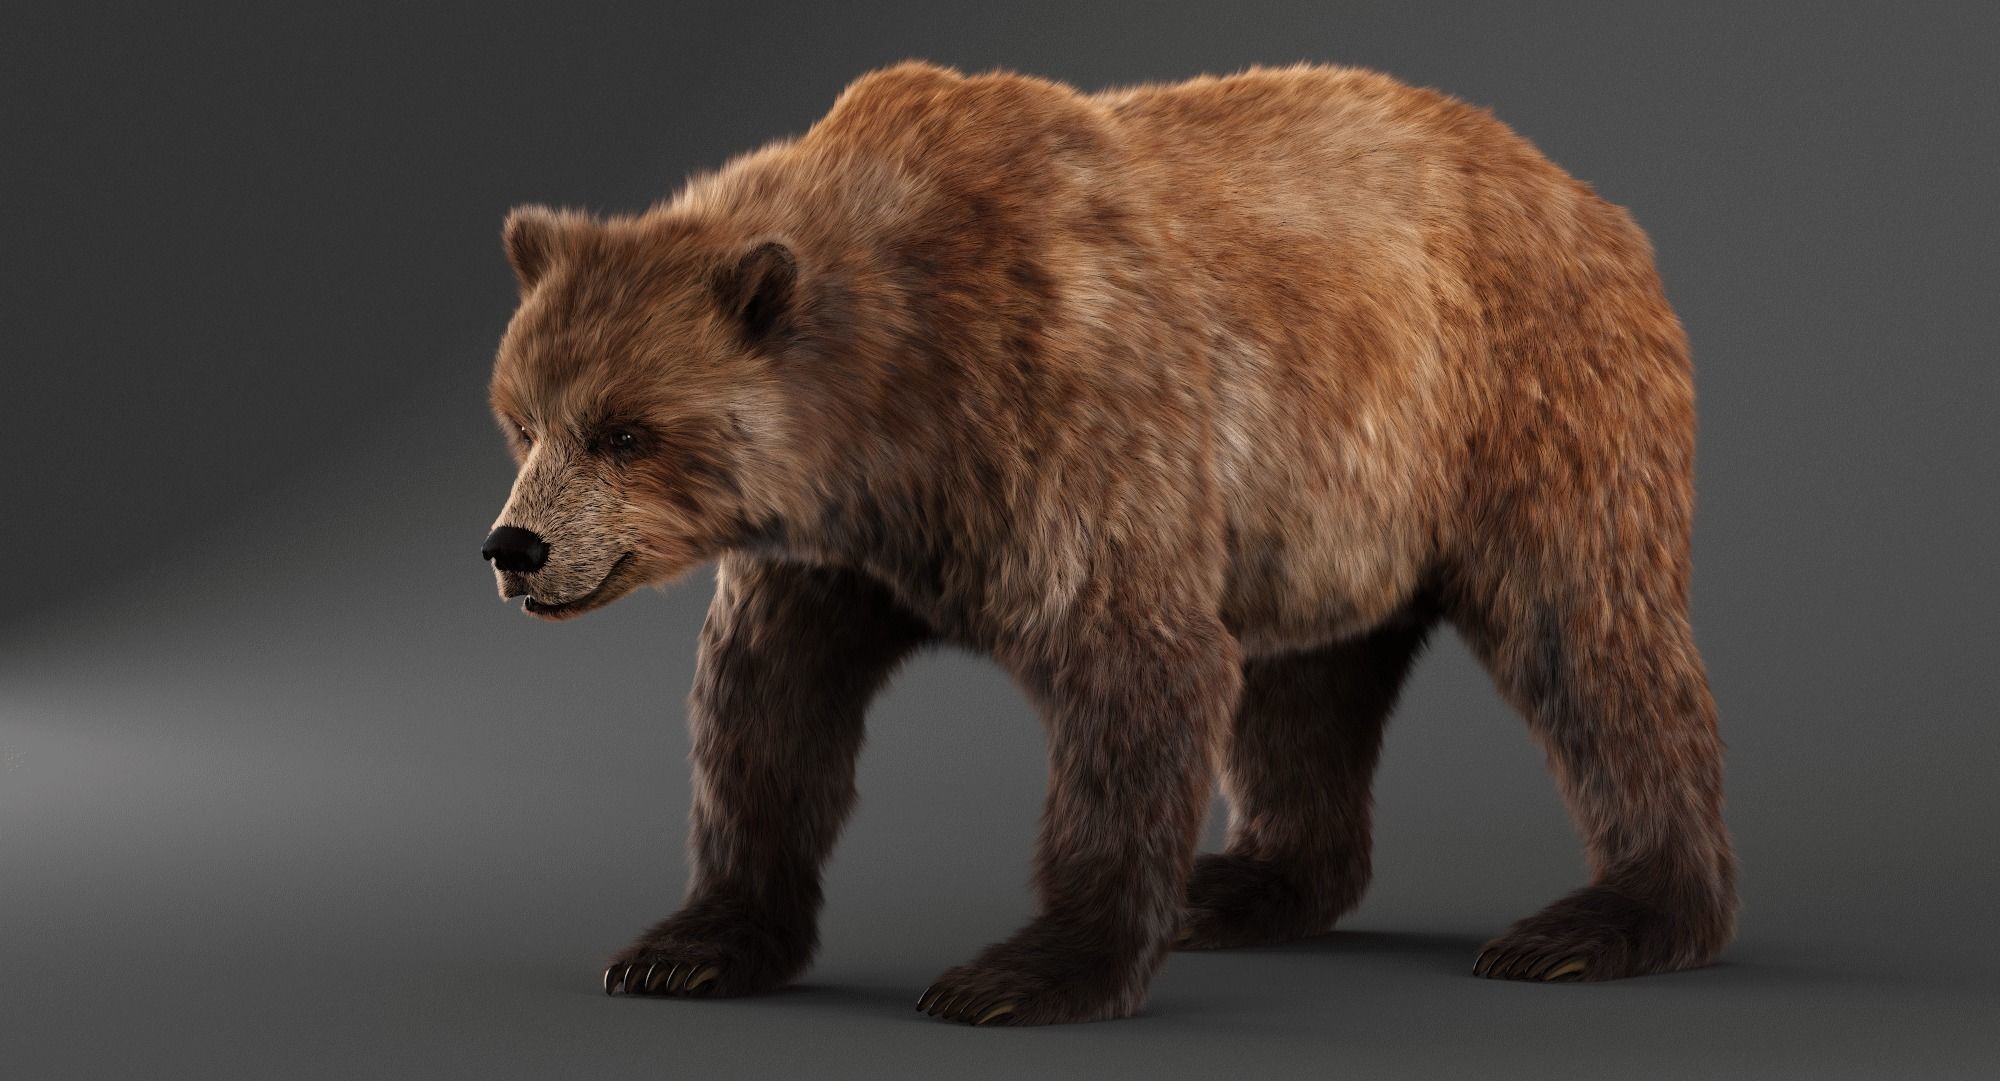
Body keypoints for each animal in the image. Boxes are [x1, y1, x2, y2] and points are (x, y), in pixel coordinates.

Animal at [480, 60, 1737, 1025]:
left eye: (626, 430)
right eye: (522, 416)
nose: (513, 546)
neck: (889, 412)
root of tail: (1587, 199)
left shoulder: (1075, 423)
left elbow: (1132, 674)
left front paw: (1022, 972)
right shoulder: (831, 559)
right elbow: (767, 712)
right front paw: (685, 944)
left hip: (1525, 408)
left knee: (1591, 643)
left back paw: (1606, 917)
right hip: (1326, 512)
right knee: (1304, 685)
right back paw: (1241, 885)